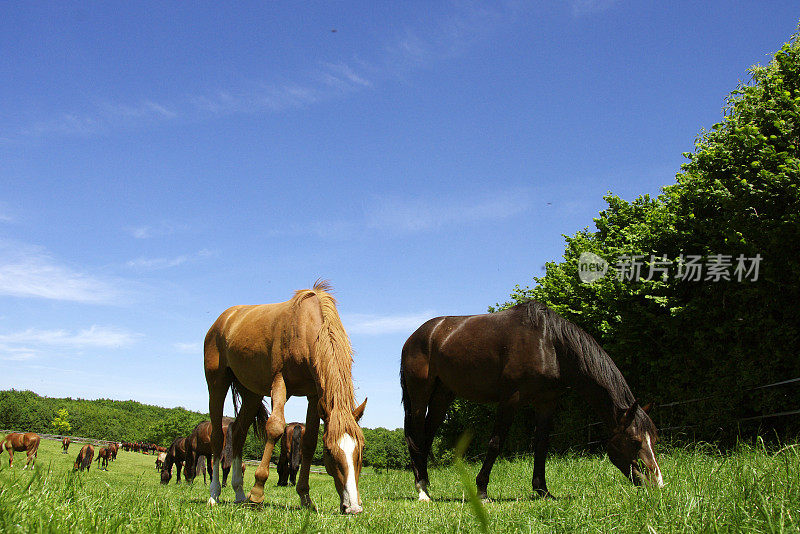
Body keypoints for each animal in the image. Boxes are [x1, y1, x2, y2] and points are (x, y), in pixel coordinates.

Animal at [206, 280, 368, 516]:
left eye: (361, 448)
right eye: (329, 451)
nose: (354, 507)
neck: (306, 327)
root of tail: (224, 319)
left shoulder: (314, 396)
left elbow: (309, 443)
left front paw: (305, 497)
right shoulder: (279, 382)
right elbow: (275, 428)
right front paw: (257, 494)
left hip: (251, 393)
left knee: (238, 433)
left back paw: (238, 493)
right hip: (217, 383)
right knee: (218, 436)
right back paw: (215, 494)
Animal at [400, 304, 664, 504]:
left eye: (655, 439)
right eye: (634, 441)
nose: (658, 484)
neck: (549, 344)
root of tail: (416, 336)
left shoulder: (546, 402)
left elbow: (541, 445)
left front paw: (542, 491)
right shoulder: (510, 400)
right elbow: (495, 443)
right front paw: (482, 491)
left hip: (442, 396)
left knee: (426, 437)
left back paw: (426, 486)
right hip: (420, 395)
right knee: (416, 437)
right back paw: (422, 491)